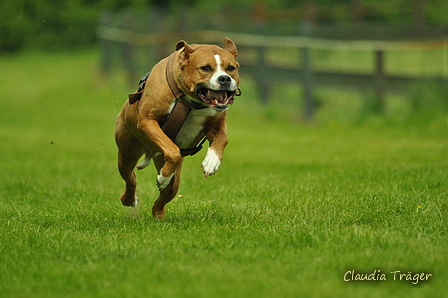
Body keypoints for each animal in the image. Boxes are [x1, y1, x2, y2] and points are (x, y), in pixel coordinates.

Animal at [115, 37, 242, 219]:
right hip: (127, 152)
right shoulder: (148, 120)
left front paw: (212, 162)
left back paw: (159, 213)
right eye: (206, 68)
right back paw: (130, 199)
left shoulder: (216, 125)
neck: (192, 102)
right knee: (131, 178)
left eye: (231, 68)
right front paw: (164, 176)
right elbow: (173, 151)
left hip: (171, 176)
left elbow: (222, 139)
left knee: (167, 192)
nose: (224, 79)